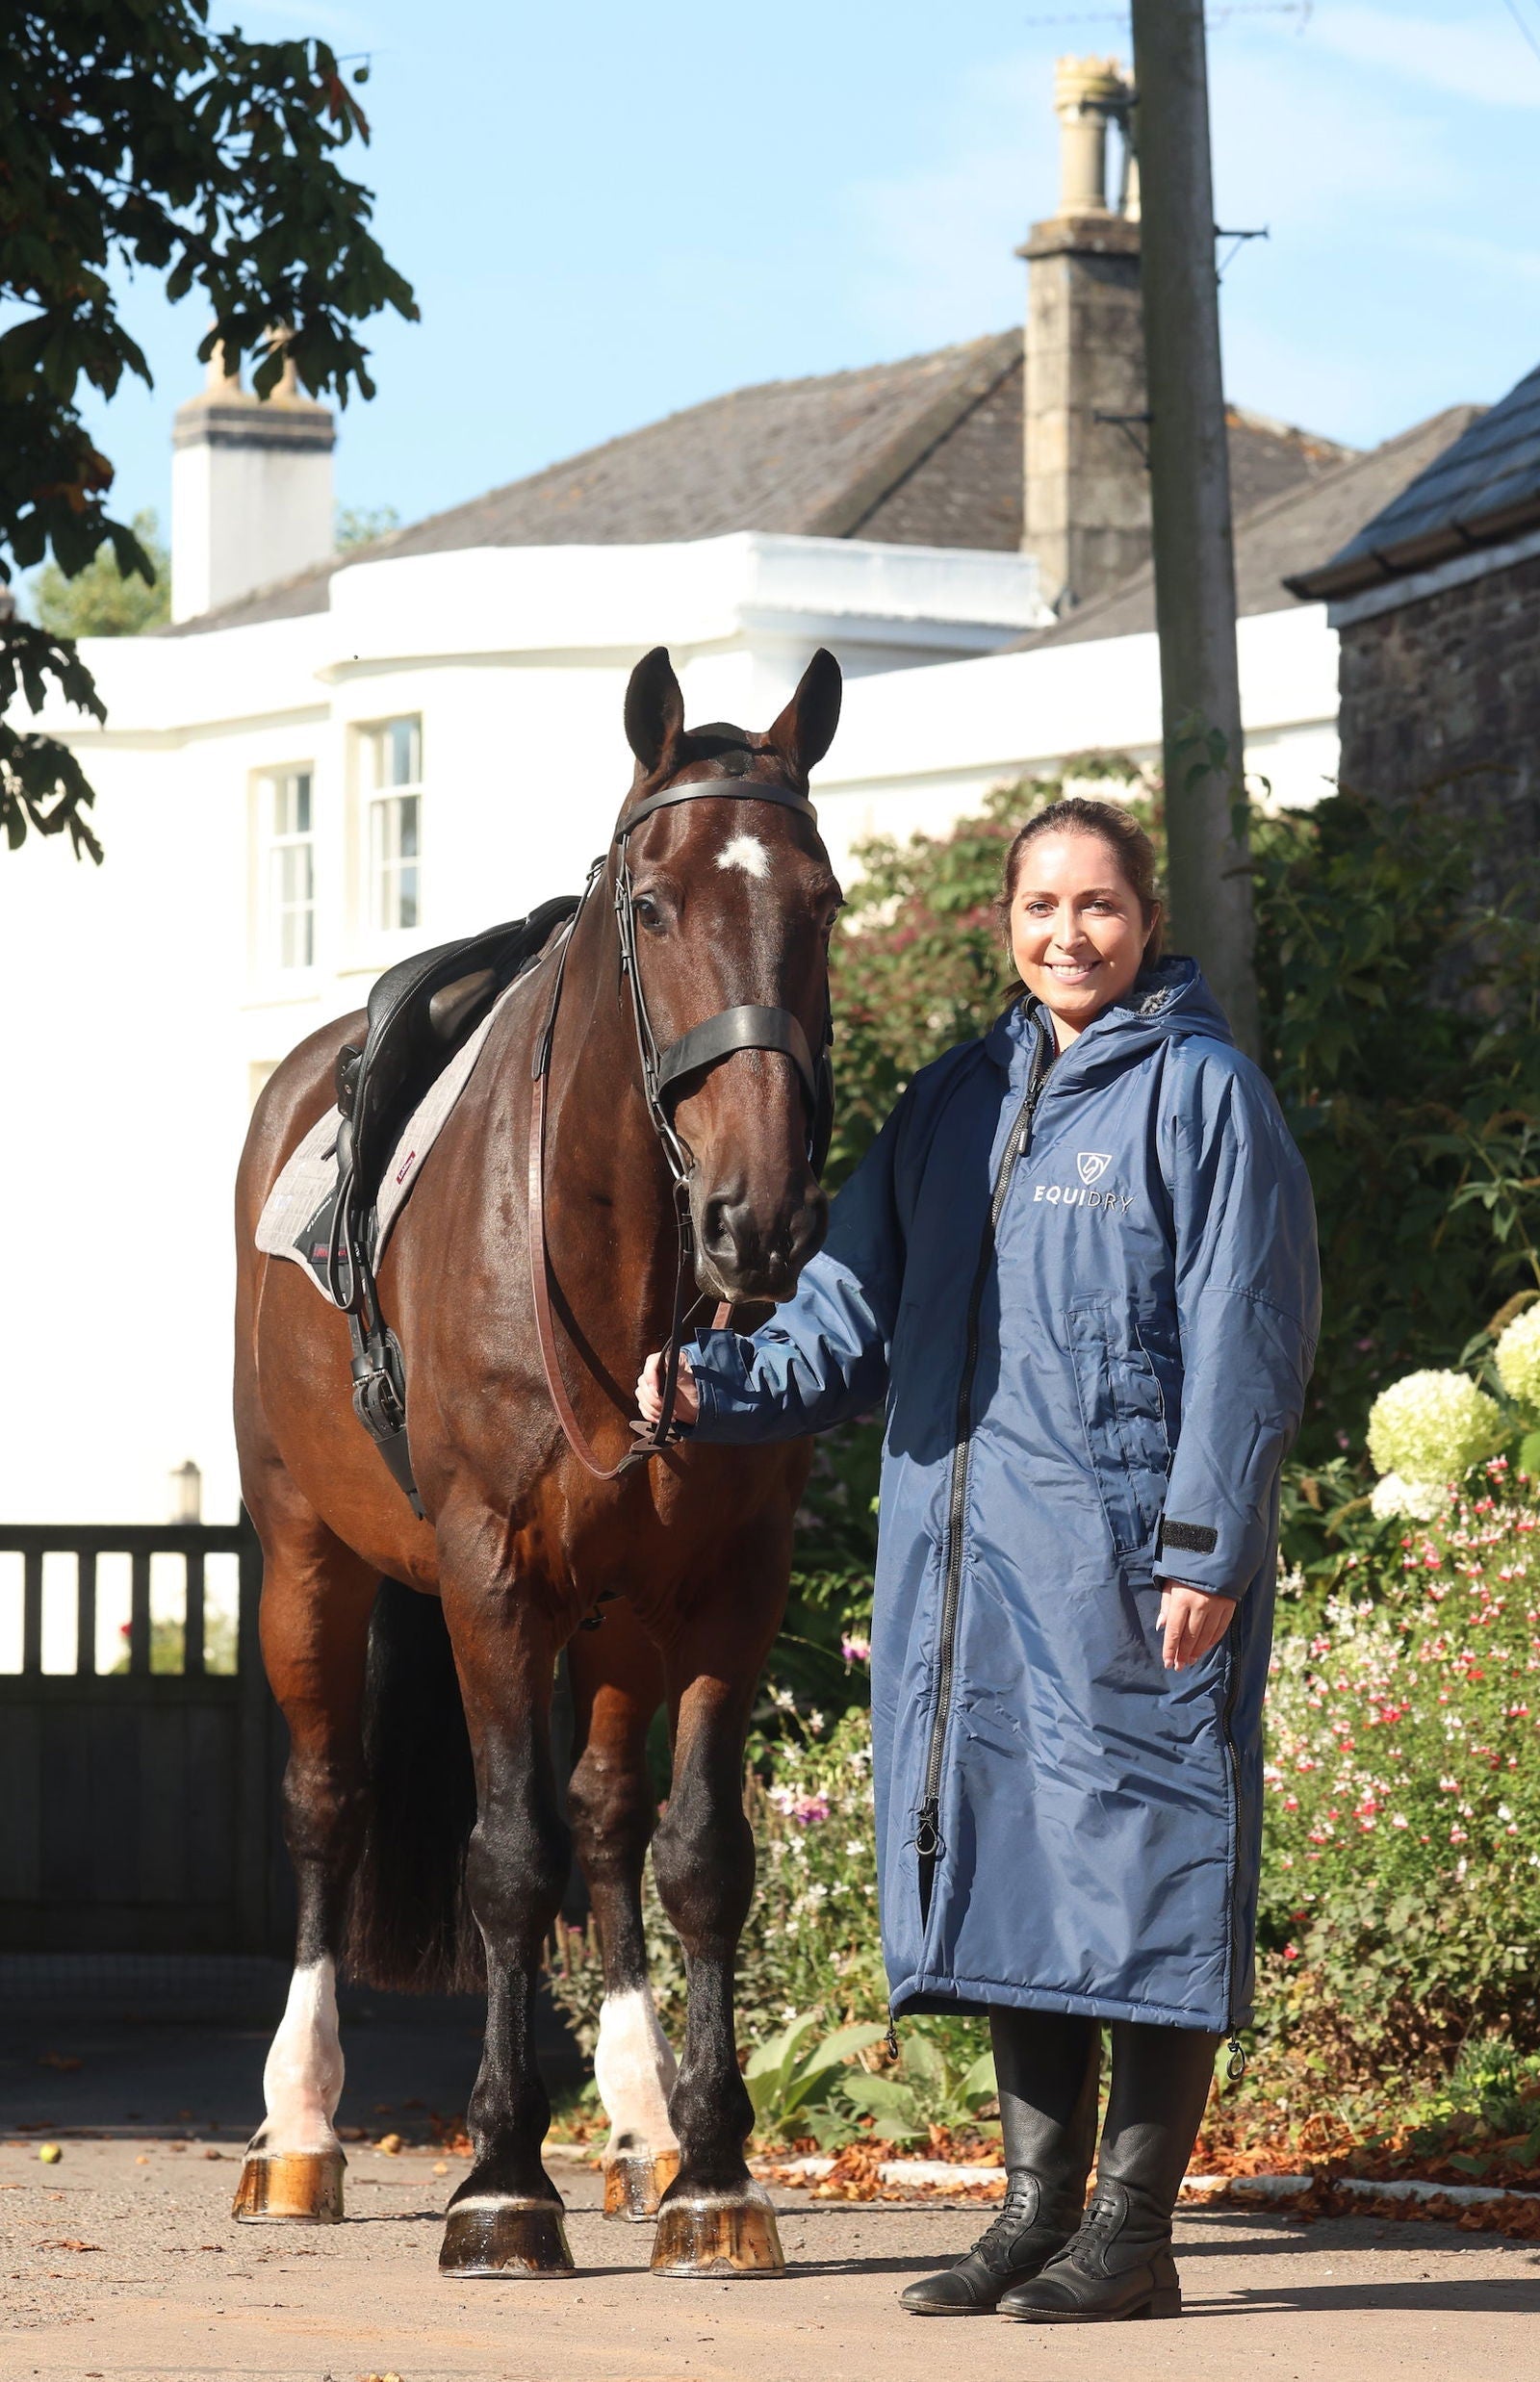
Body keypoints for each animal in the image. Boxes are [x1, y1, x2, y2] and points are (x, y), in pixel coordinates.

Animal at [230, 645, 844, 2279]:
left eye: (823, 902)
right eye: (655, 905)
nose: (760, 1216)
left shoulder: (726, 1583)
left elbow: (696, 1853)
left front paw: (712, 2165)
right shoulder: (489, 1574)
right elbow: (507, 1853)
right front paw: (502, 2176)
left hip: (620, 1610)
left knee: (611, 1817)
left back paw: (640, 2119)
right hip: (306, 1556)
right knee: (324, 1800)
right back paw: (299, 2124)